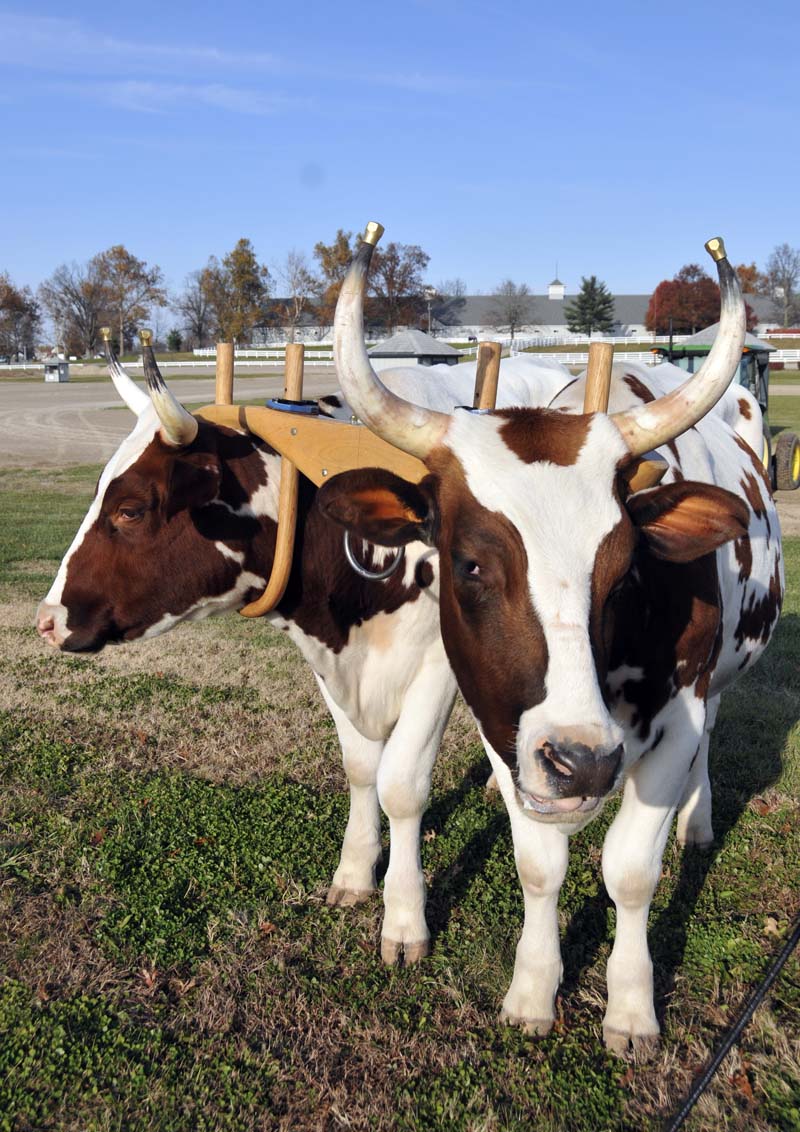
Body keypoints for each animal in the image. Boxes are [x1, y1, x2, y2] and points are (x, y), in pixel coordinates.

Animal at [35, 335, 572, 967]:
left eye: (131, 509)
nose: (47, 621)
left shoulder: (438, 664)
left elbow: (401, 787)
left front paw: (404, 919)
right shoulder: (327, 660)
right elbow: (361, 769)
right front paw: (355, 874)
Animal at [315, 229, 783, 1054]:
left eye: (626, 568)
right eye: (470, 563)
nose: (582, 760)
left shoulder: (676, 716)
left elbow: (630, 870)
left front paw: (631, 1008)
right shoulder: (505, 724)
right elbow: (539, 865)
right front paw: (534, 988)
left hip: (718, 681)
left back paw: (696, 823)